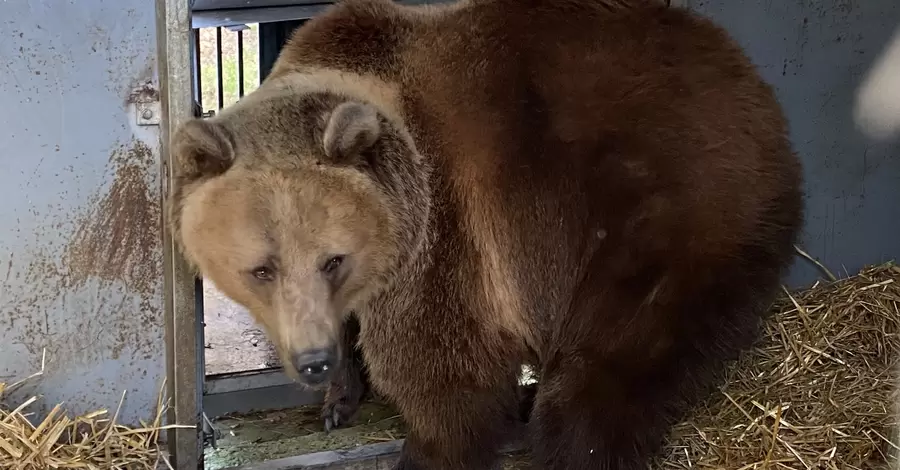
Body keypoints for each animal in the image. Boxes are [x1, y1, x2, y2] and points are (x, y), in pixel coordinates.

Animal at [167, 0, 800, 468]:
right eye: (261, 268)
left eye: (332, 258)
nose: (313, 362)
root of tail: (754, 87)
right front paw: (338, 399)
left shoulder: (447, 235)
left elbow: (446, 375)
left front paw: (428, 448)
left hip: (662, 214)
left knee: (608, 364)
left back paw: (565, 441)